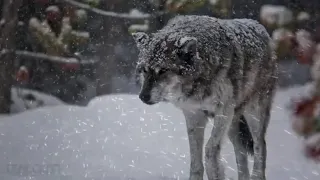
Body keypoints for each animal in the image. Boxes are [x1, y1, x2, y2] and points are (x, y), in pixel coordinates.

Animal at [132, 14, 278, 179]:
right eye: (144, 70)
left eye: (162, 70)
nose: (143, 96)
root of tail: (261, 28)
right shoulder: (193, 114)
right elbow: (195, 160)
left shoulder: (224, 112)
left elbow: (209, 150)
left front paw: (216, 172)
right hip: (233, 125)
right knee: (240, 152)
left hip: (253, 114)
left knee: (260, 145)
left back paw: (257, 175)